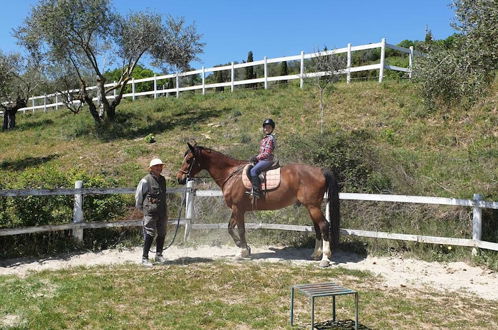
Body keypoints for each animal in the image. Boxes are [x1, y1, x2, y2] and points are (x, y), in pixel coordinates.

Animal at [176, 143, 342, 266]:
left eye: (189, 160)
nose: (179, 178)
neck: (232, 174)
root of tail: (320, 170)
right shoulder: (237, 209)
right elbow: (230, 228)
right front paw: (245, 248)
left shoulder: (238, 209)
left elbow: (240, 229)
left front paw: (242, 251)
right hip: (311, 206)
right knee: (317, 227)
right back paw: (315, 254)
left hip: (313, 206)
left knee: (324, 226)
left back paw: (325, 259)